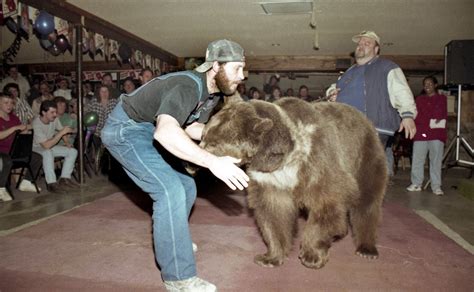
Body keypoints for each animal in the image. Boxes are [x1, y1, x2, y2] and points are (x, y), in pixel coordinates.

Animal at [200, 97, 388, 270]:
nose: (200, 149)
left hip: (365, 157)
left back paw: (366, 249)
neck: (282, 156)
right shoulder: (271, 179)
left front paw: (311, 256)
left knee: (367, 202)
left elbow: (327, 205)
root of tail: (365, 119)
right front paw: (270, 257)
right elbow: (273, 212)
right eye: (203, 135)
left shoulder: (317, 162)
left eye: (214, 143)